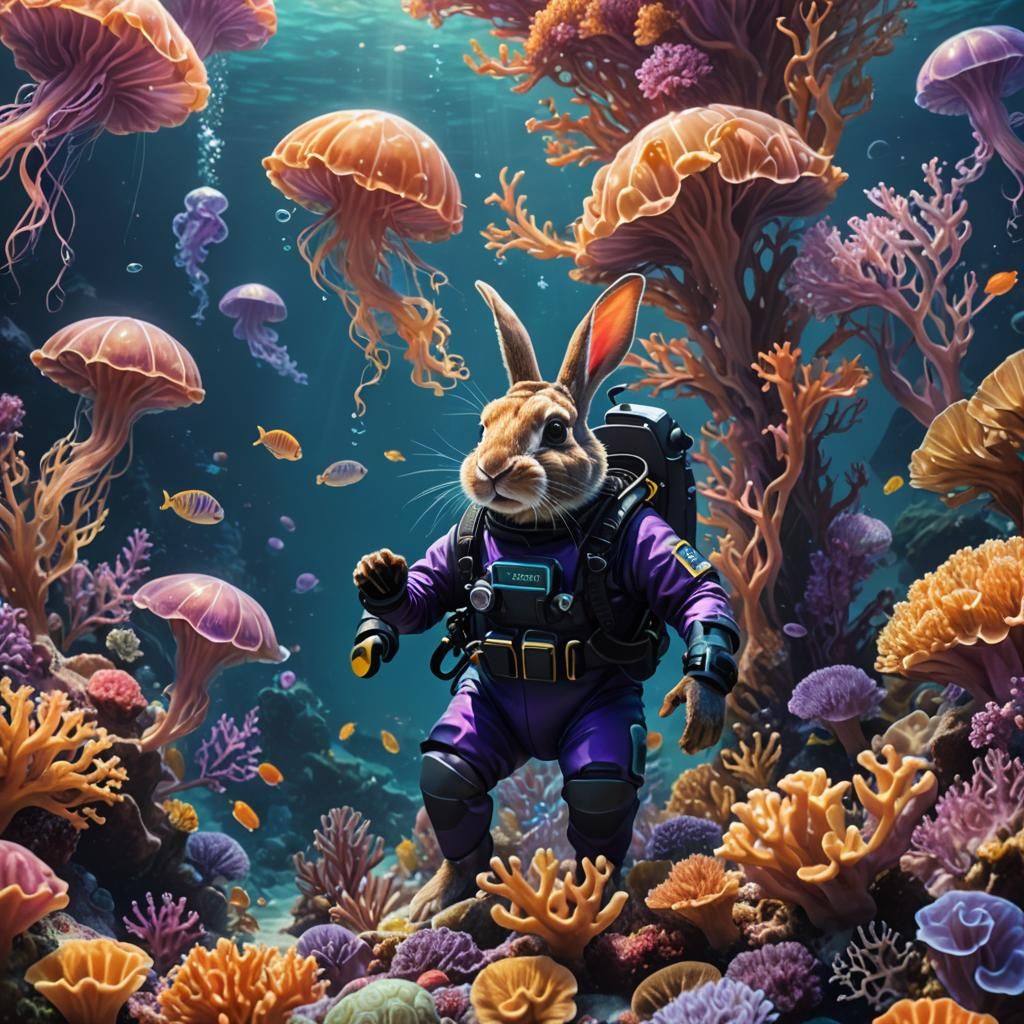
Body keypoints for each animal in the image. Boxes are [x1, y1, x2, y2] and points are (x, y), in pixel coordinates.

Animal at [354, 273, 740, 917]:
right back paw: (444, 895)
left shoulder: (638, 534)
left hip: (607, 721)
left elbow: (695, 590)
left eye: (555, 430)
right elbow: (426, 591)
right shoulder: (460, 543)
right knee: (450, 773)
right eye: (482, 427)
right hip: (480, 707)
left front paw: (700, 698)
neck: (533, 534)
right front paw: (379, 577)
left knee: (599, 793)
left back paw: (595, 896)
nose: (489, 469)